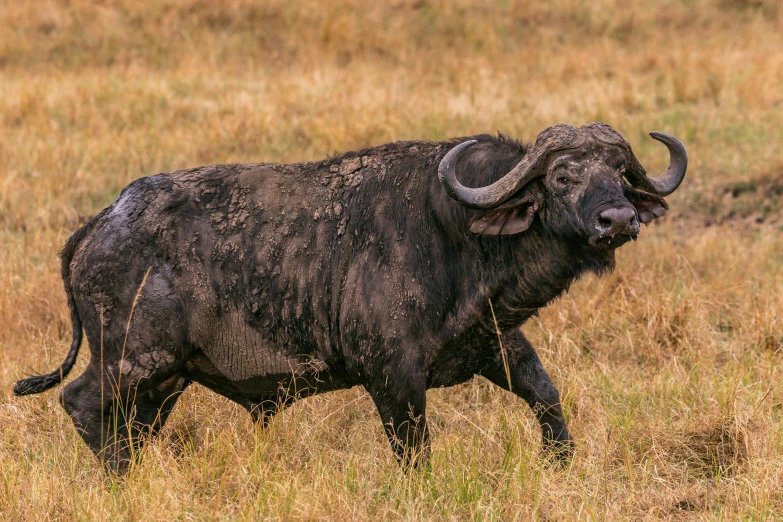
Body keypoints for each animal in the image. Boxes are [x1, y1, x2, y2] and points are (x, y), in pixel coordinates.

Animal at [13, 120, 688, 470]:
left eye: (617, 172)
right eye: (563, 176)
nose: (619, 218)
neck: (455, 233)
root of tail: (100, 224)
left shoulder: (497, 342)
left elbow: (546, 398)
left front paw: (560, 464)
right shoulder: (392, 376)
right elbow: (414, 450)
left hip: (166, 379)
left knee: (132, 424)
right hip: (133, 357)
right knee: (81, 403)